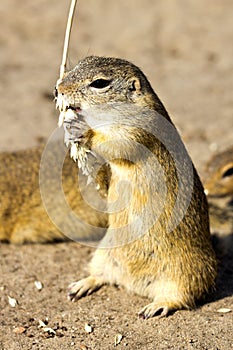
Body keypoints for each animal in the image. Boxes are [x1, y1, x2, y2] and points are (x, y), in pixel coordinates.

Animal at [55, 56, 218, 318]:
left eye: (100, 83)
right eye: (81, 62)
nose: (58, 88)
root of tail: (134, 287)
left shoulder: (140, 129)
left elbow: (117, 143)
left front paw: (81, 129)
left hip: (186, 274)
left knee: (182, 298)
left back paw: (157, 305)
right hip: (103, 253)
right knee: (103, 276)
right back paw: (81, 285)